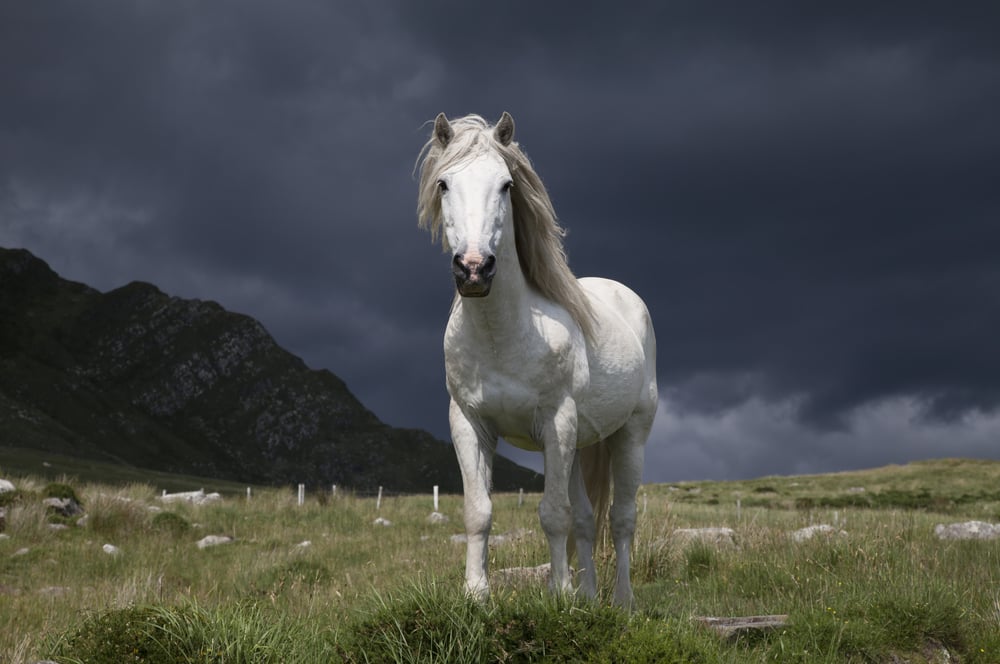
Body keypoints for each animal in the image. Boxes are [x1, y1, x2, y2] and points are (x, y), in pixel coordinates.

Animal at [414, 113, 656, 608]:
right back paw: (589, 598)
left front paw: (558, 596)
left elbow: (553, 514)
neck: (503, 335)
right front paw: (476, 596)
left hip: (629, 435)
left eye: (506, 184)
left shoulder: (557, 423)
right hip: (582, 443)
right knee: (588, 519)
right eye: (444, 184)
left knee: (621, 519)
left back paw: (622, 602)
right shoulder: (468, 423)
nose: (473, 269)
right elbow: (479, 511)